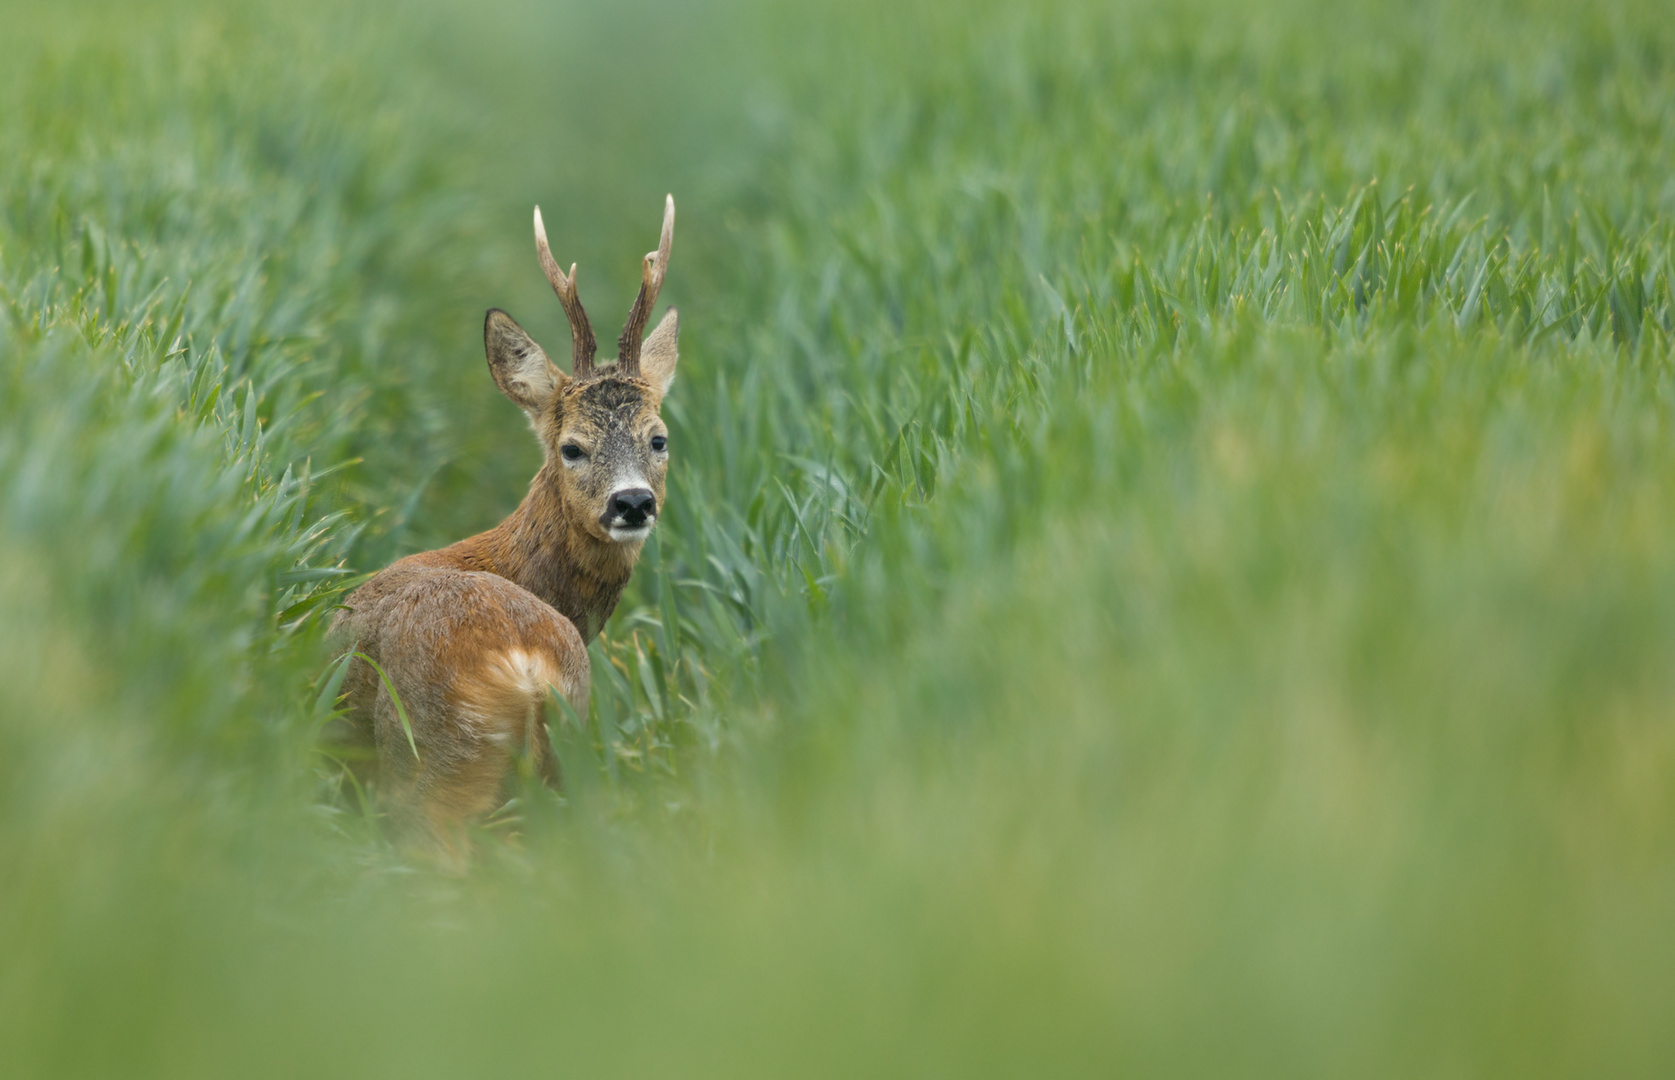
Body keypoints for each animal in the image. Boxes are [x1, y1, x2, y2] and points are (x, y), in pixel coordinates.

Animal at [328, 191, 680, 850]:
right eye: (572, 447)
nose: (632, 503)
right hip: (563, 758)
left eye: (658, 439)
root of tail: (526, 668)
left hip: (432, 759)